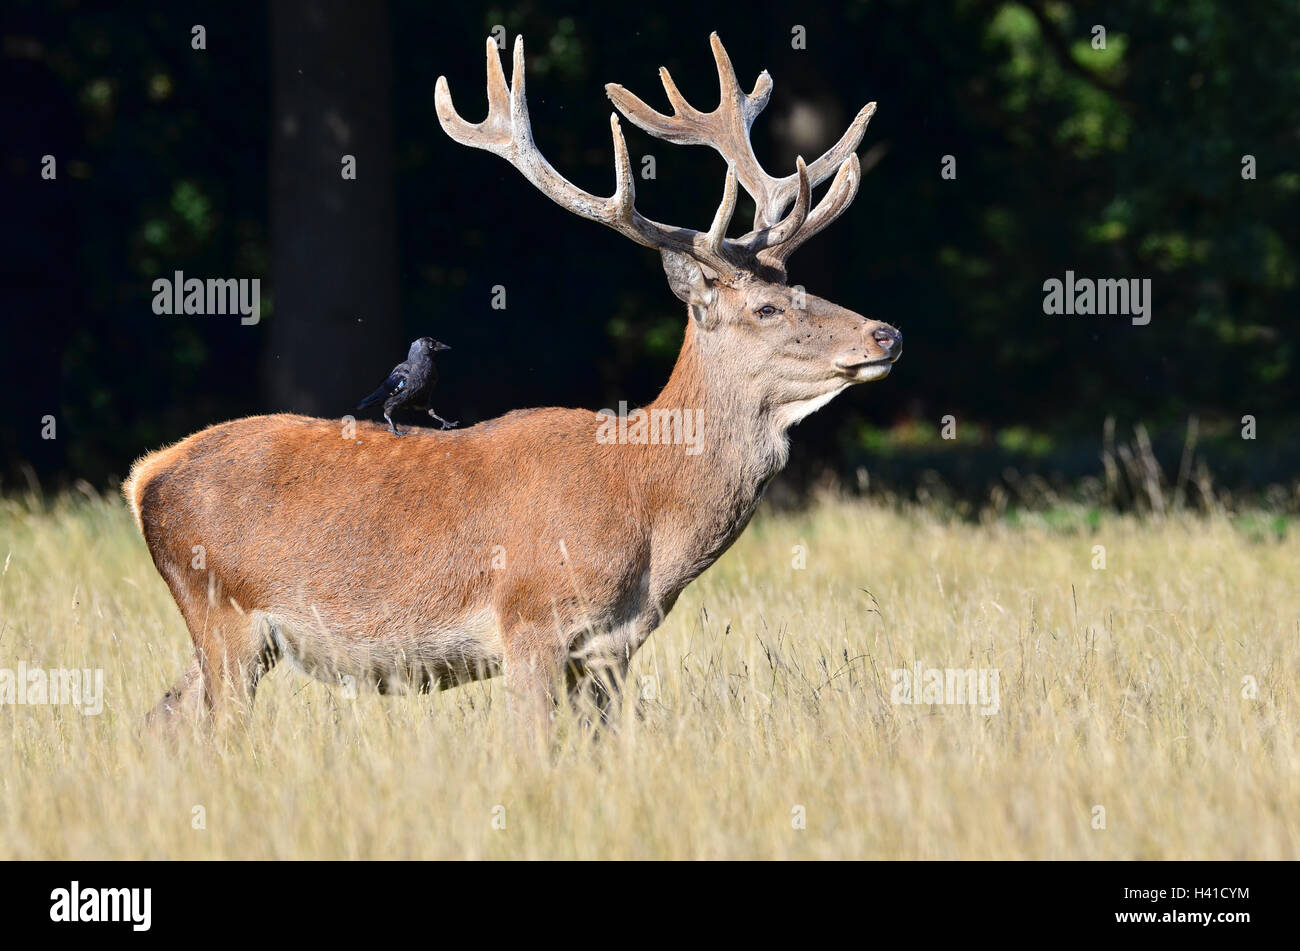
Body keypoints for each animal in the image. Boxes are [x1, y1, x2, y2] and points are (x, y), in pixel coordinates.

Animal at [124, 33, 901, 744]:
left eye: (803, 287)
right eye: (767, 308)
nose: (886, 335)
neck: (648, 507)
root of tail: (145, 475)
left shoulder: (608, 652)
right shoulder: (531, 618)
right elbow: (533, 746)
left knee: (163, 718)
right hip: (222, 608)